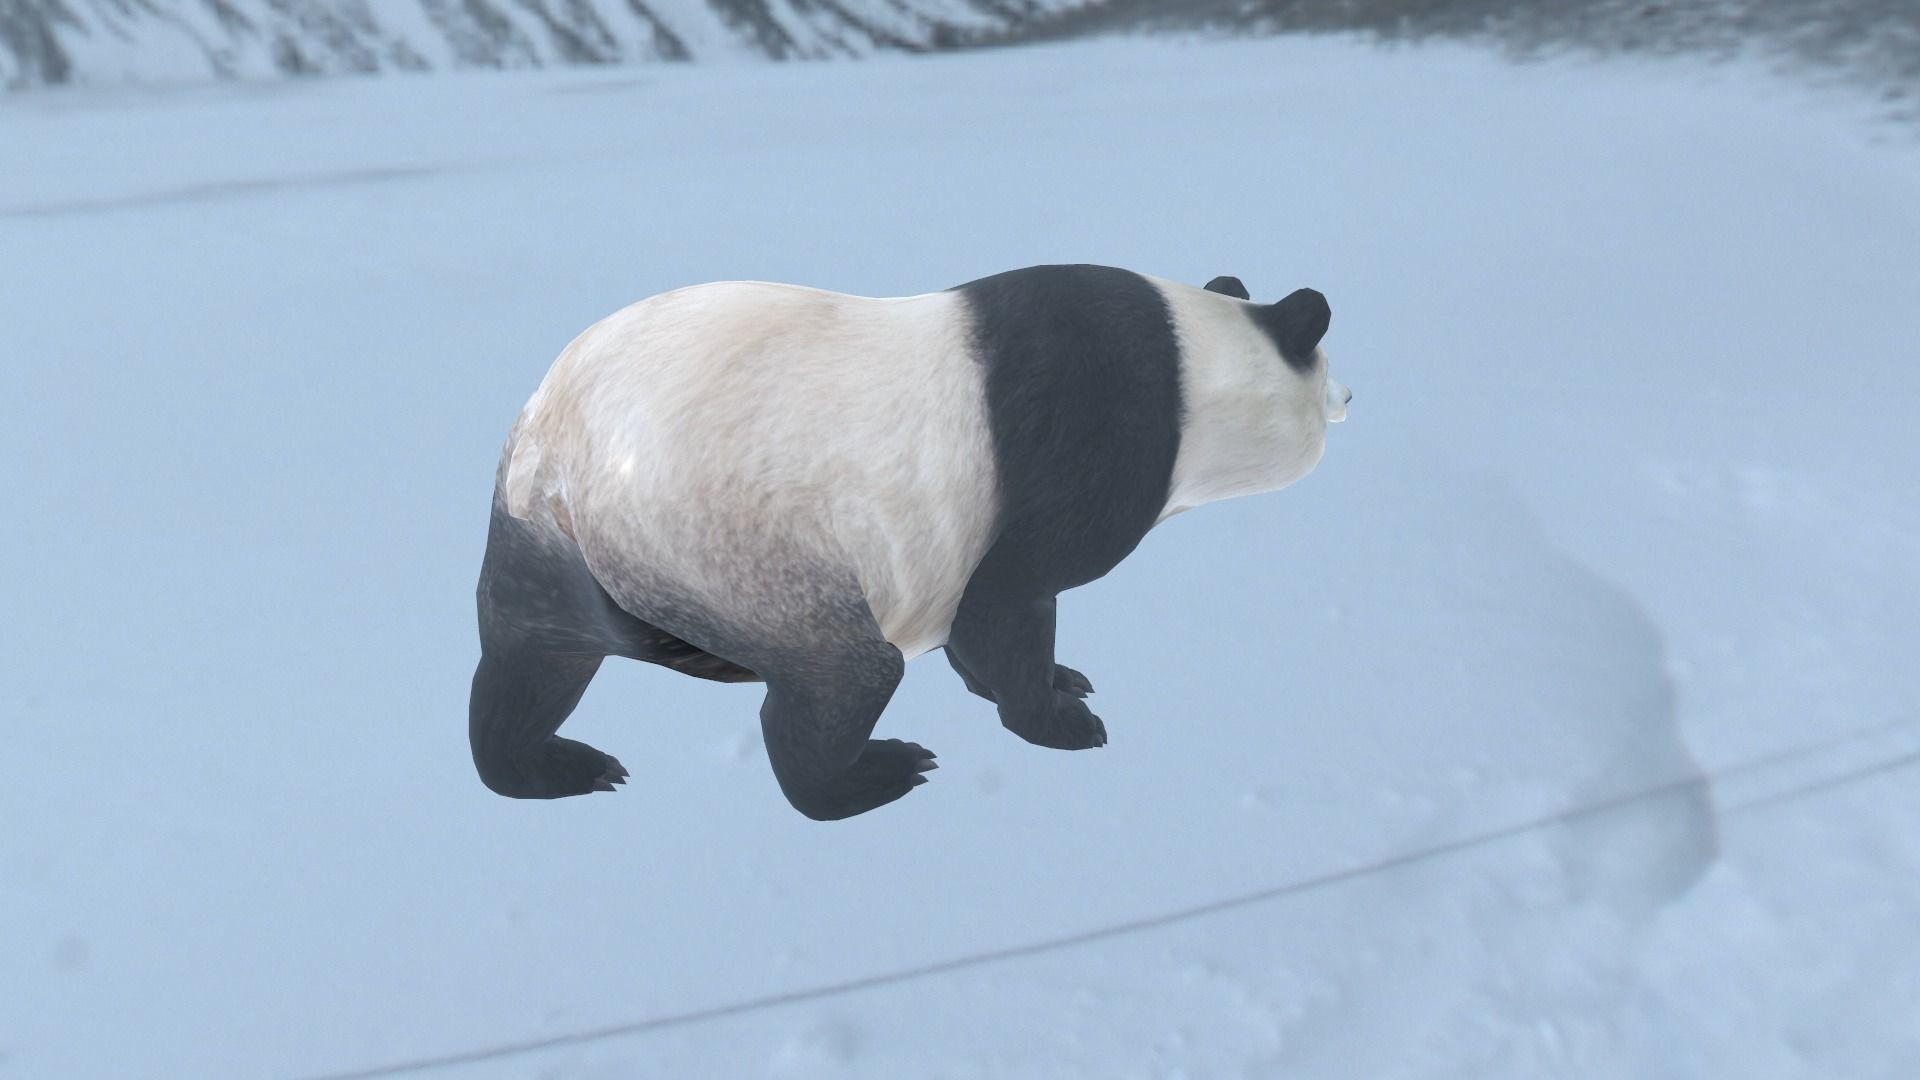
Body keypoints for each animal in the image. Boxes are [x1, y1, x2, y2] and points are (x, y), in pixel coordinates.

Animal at [470, 264, 1349, 820]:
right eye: (1321, 363)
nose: (1348, 395)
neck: (1187, 360)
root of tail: (563, 451)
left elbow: (979, 627)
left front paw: (1054, 682)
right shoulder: (1084, 438)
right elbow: (1011, 599)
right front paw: (1061, 719)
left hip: (539, 535)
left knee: (531, 660)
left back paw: (552, 766)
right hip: (740, 543)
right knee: (841, 672)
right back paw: (873, 774)